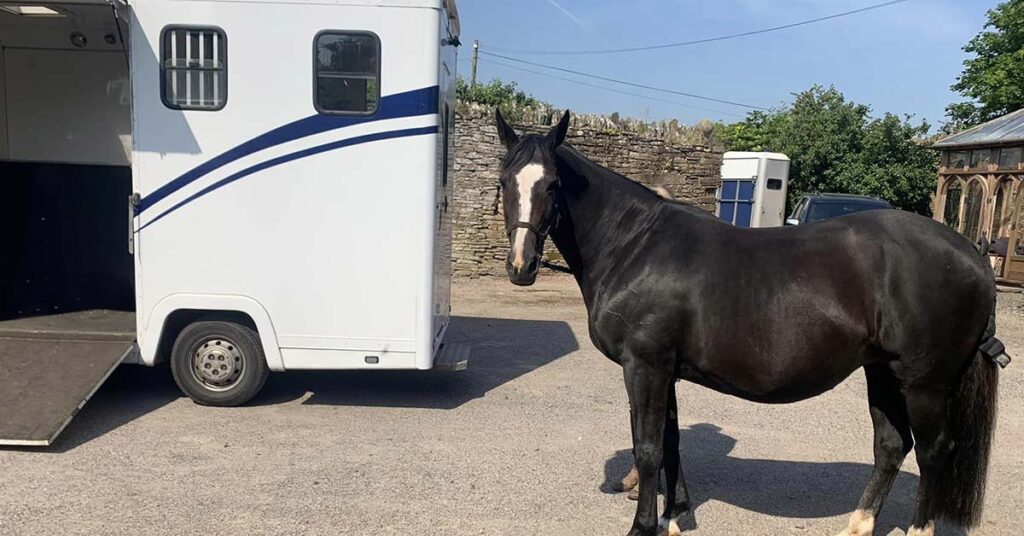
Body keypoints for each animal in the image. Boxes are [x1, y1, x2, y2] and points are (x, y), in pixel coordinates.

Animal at [492, 109, 1008, 536]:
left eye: (553, 184)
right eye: (503, 181)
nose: (521, 266)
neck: (635, 245)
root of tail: (973, 254)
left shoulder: (645, 367)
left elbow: (649, 448)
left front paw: (643, 527)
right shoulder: (666, 371)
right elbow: (672, 442)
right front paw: (677, 515)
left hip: (924, 383)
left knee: (934, 451)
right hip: (882, 371)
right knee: (891, 446)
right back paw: (858, 526)